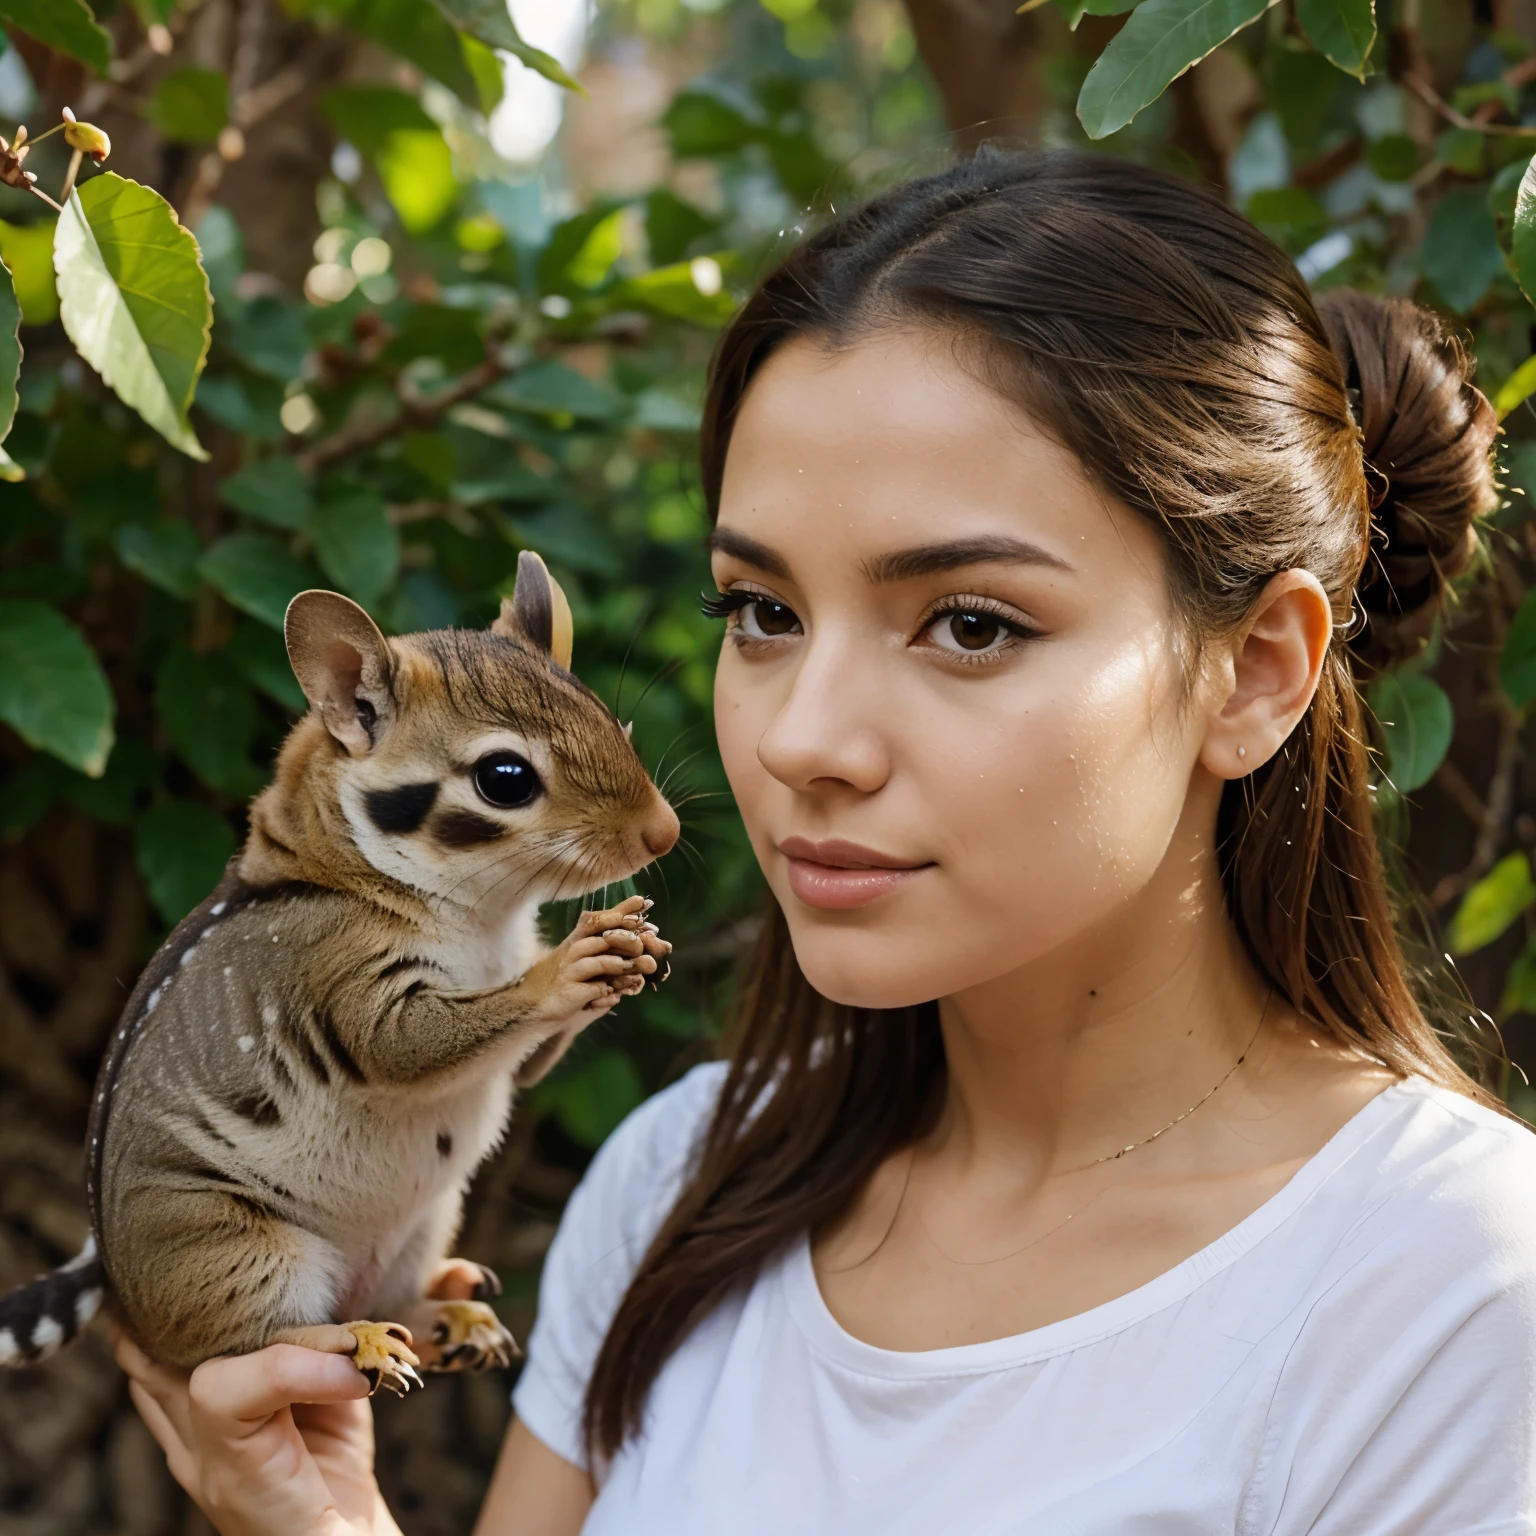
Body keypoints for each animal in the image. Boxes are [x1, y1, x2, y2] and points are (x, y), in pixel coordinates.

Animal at [0, 549, 678, 1394]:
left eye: (616, 724)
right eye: (507, 778)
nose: (665, 832)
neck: (484, 918)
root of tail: (120, 1287)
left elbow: (520, 1067)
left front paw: (636, 950)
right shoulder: (339, 973)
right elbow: (402, 1044)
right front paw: (569, 967)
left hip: (423, 1224)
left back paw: (446, 1318)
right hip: (237, 1251)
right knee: (235, 1346)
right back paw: (354, 1338)